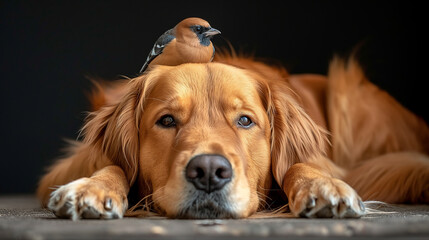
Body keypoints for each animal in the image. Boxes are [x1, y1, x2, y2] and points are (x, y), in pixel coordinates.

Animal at [36, 54, 428, 219]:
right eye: (166, 120)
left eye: (245, 121)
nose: (209, 172)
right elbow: (113, 166)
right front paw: (92, 188)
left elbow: (298, 166)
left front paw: (323, 187)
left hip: (348, 91)